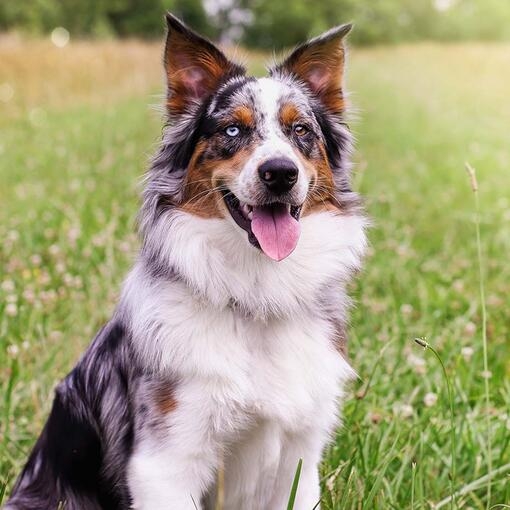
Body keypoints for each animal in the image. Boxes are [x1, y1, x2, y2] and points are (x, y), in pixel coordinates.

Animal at [3, 11, 366, 510]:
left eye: (301, 132)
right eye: (232, 130)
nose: (280, 173)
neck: (257, 294)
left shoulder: (299, 459)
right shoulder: (166, 461)